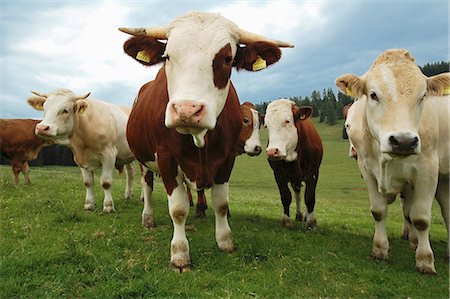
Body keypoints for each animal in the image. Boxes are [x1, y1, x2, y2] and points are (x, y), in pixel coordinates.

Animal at [119, 12, 294, 272]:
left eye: (227, 58)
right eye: (167, 56)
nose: (187, 110)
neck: (201, 140)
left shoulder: (227, 158)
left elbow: (221, 203)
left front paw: (225, 241)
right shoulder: (166, 157)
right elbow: (178, 208)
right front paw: (180, 254)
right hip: (144, 159)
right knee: (147, 185)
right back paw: (148, 217)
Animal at [264, 100, 324, 230]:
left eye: (287, 121)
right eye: (266, 126)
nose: (272, 151)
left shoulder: (313, 173)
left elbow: (310, 197)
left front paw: (311, 223)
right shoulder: (278, 175)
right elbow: (286, 197)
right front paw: (286, 221)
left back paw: (306, 215)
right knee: (297, 193)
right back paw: (299, 215)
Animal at [336, 48, 448, 276]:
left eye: (423, 96)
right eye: (373, 94)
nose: (404, 141)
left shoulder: (428, 171)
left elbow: (421, 218)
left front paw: (425, 260)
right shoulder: (367, 169)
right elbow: (379, 211)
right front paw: (380, 249)